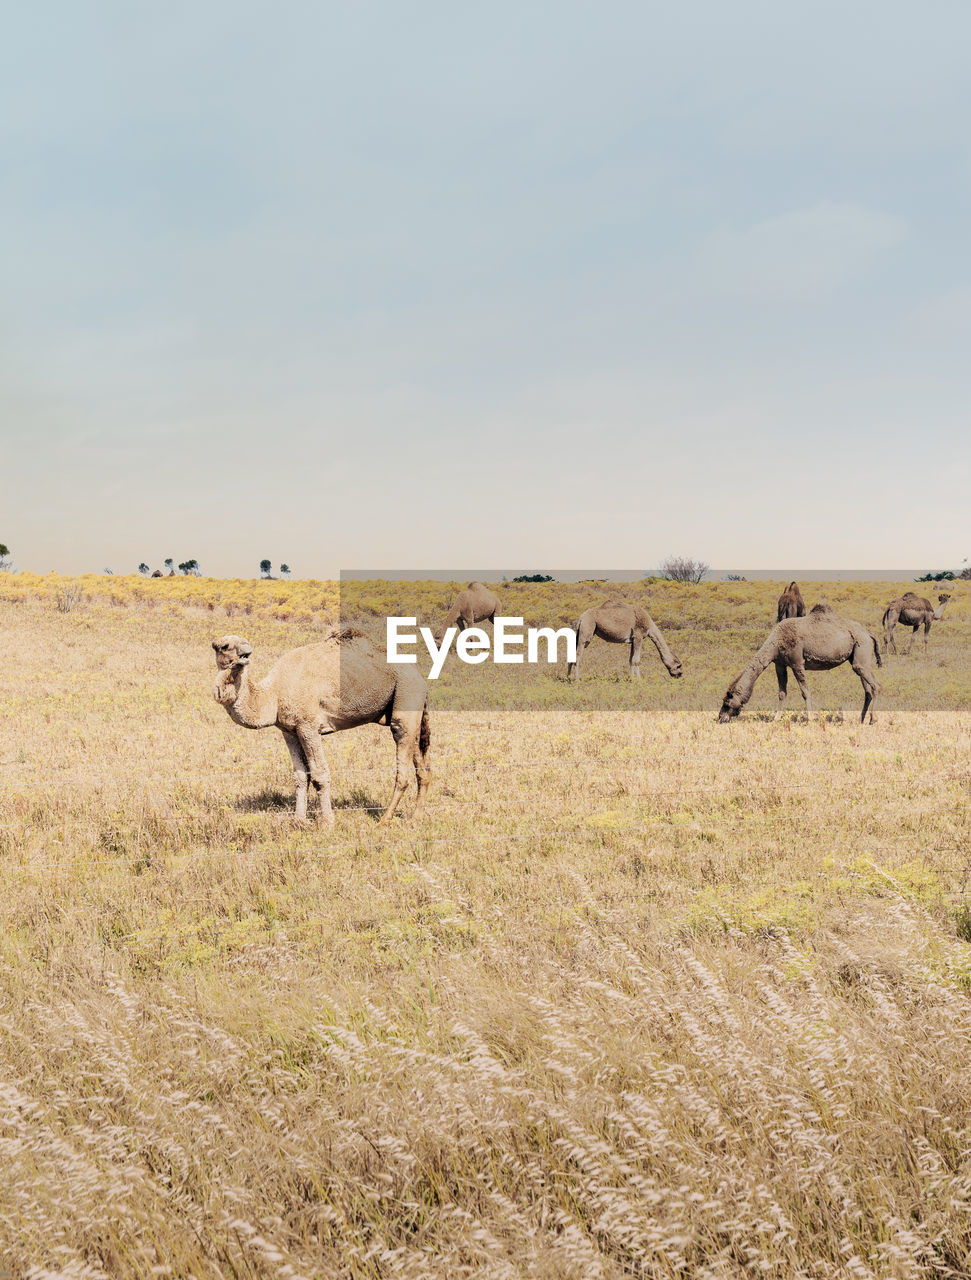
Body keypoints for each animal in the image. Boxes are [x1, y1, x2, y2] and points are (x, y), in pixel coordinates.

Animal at [214, 629, 429, 829]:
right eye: (222, 647)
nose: (246, 650)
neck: (273, 693)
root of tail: (420, 677)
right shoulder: (289, 731)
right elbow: (300, 775)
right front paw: (298, 820)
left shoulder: (308, 726)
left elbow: (319, 775)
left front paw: (327, 822)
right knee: (422, 767)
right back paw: (416, 819)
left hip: (406, 693)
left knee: (402, 763)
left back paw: (384, 821)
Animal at [716, 604, 885, 727]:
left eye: (727, 702)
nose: (720, 718)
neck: (775, 642)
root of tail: (868, 633)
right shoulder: (780, 664)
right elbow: (782, 693)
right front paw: (775, 719)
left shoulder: (797, 662)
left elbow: (805, 692)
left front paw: (810, 720)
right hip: (858, 659)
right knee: (867, 689)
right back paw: (861, 719)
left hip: (861, 653)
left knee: (876, 686)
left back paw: (873, 719)